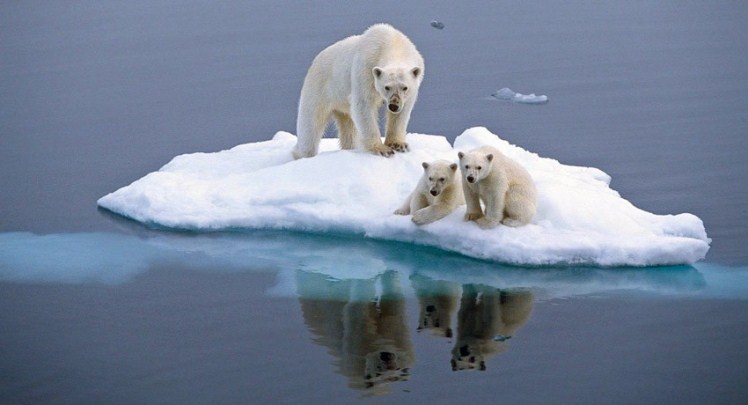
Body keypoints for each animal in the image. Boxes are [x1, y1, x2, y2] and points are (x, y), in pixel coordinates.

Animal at [292, 22, 424, 159]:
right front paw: (382, 149)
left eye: (405, 87)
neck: (393, 43)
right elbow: (363, 105)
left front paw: (398, 145)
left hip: (341, 103)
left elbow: (401, 113)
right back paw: (301, 154)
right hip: (319, 89)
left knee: (348, 128)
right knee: (310, 126)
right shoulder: (365, 69)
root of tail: (314, 62)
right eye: (386, 87)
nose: (393, 105)